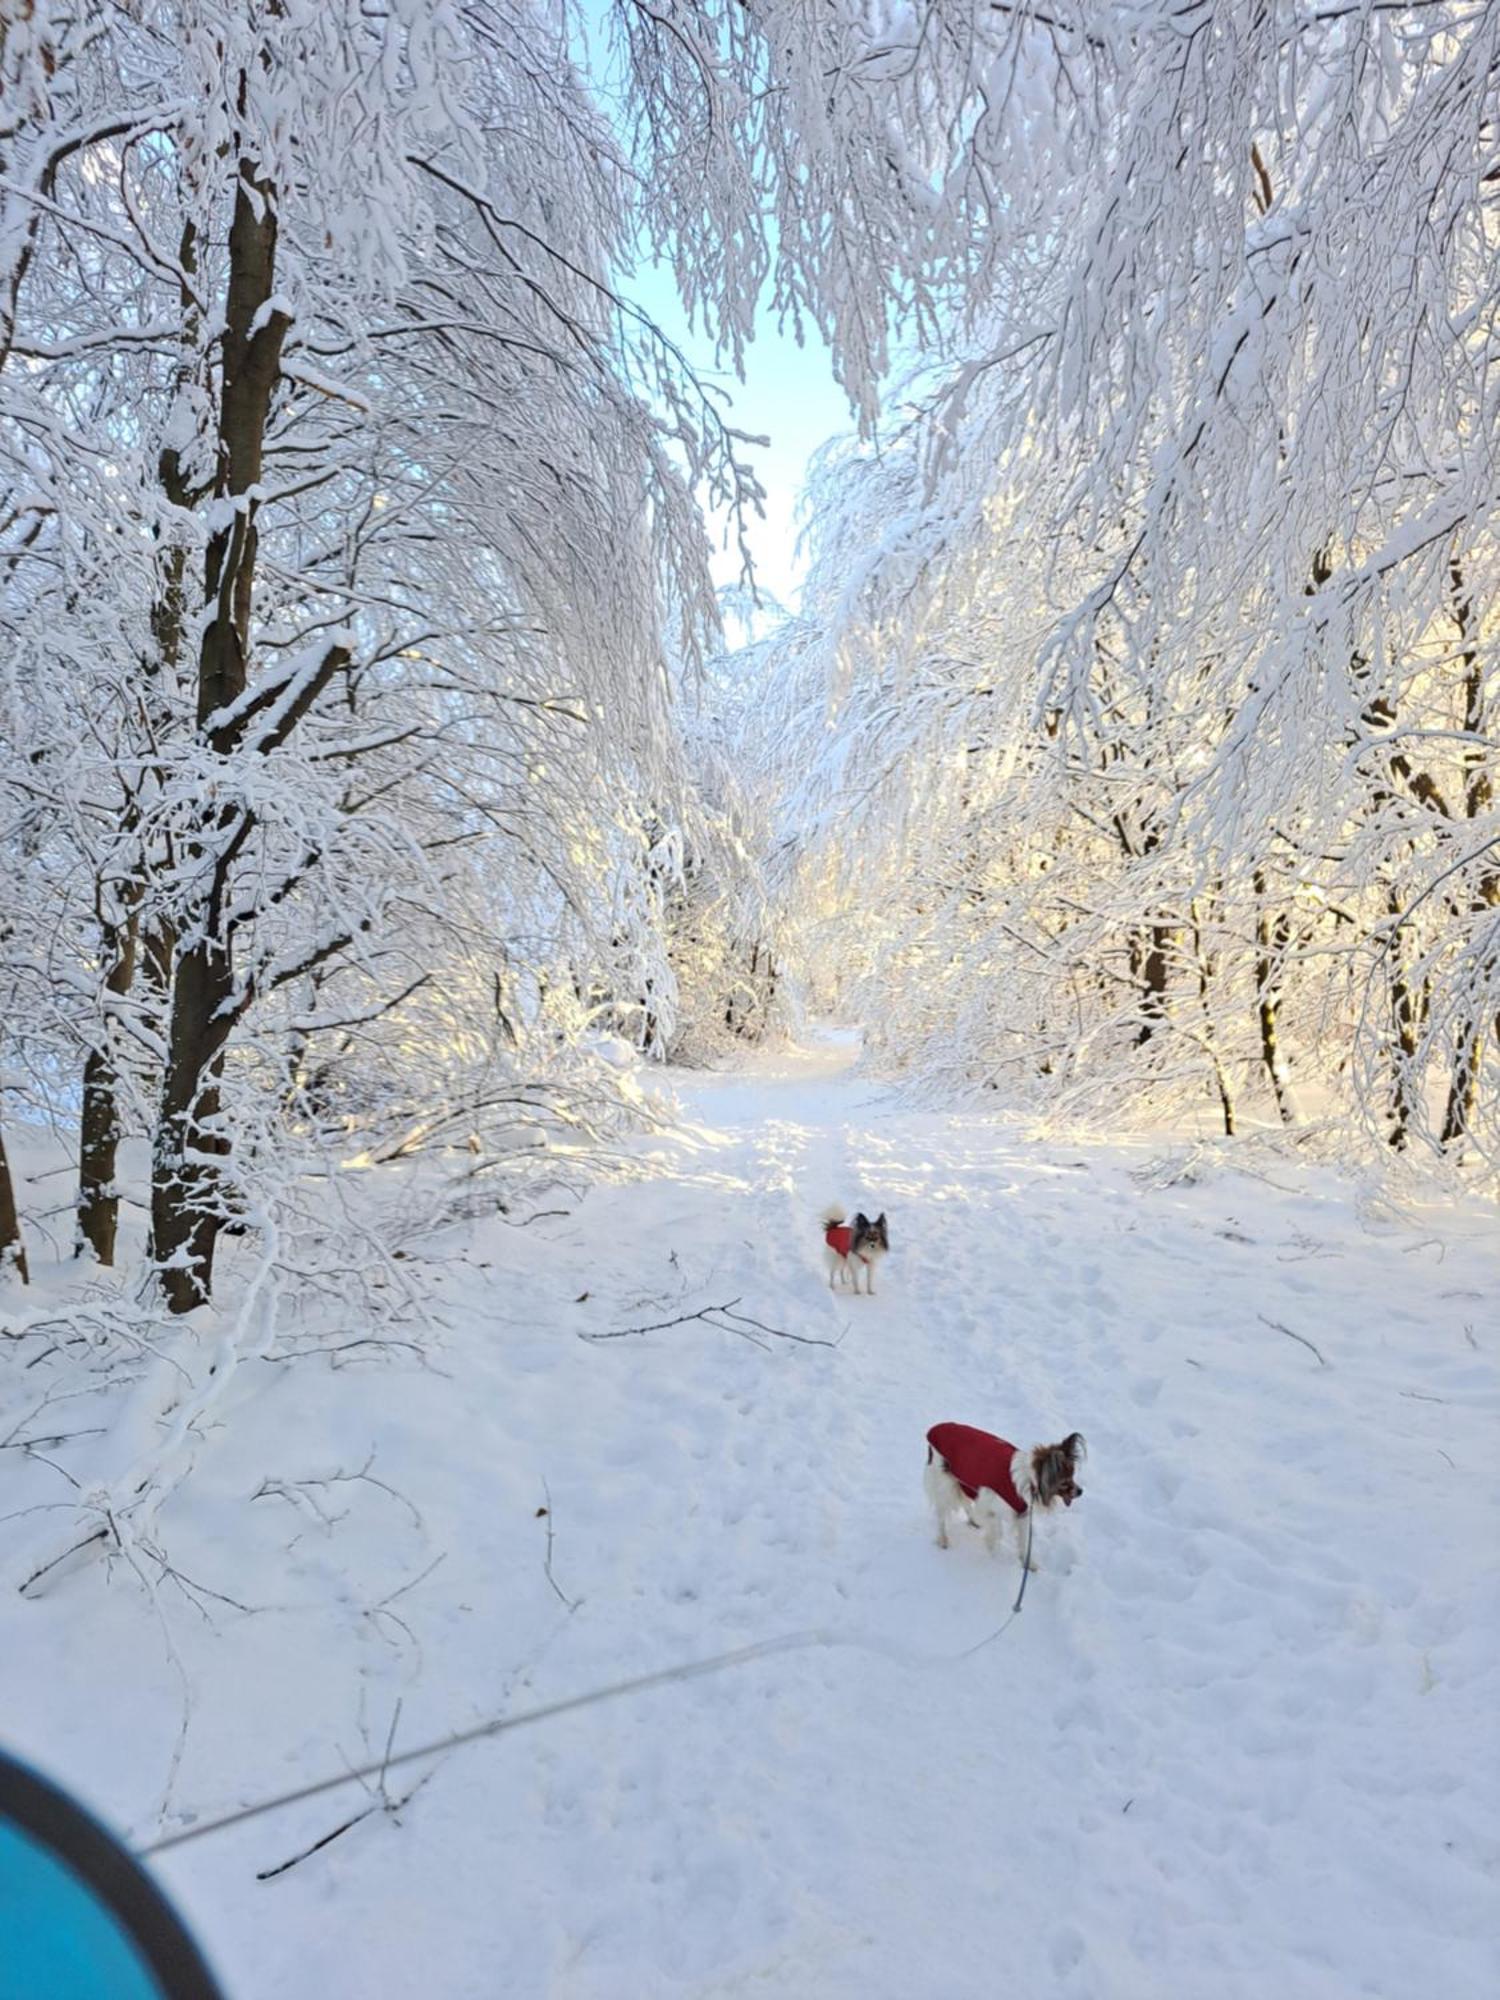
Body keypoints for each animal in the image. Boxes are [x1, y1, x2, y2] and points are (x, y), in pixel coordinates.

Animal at [924, 1416, 1088, 1568]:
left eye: (1073, 1476)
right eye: (1065, 1482)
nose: (1080, 1491)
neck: (1030, 1480)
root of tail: (936, 1428)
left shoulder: (1022, 1513)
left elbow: (1023, 1542)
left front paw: (1027, 1564)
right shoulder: (988, 1505)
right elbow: (997, 1532)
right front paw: (993, 1554)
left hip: (963, 1481)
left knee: (965, 1503)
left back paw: (973, 1521)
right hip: (946, 1485)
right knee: (941, 1514)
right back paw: (943, 1539)